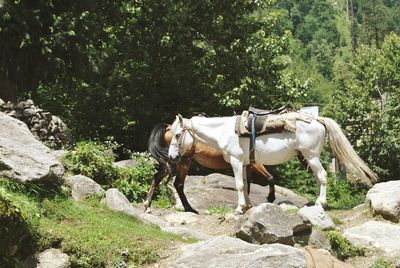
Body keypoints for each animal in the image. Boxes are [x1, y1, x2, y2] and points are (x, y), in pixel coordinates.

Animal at [145, 123, 276, 214]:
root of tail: (168, 127)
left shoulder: (246, 166)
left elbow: (246, 186)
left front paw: (246, 207)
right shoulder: (254, 164)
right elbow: (269, 178)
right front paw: (270, 198)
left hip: (170, 162)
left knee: (157, 178)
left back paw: (147, 206)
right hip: (182, 162)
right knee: (178, 184)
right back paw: (189, 208)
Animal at [168, 113, 378, 214]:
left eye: (177, 135)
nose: (171, 156)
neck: (227, 131)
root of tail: (317, 120)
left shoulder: (236, 161)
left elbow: (238, 185)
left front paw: (239, 208)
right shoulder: (245, 164)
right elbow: (246, 185)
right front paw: (248, 206)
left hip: (311, 157)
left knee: (323, 176)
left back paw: (321, 203)